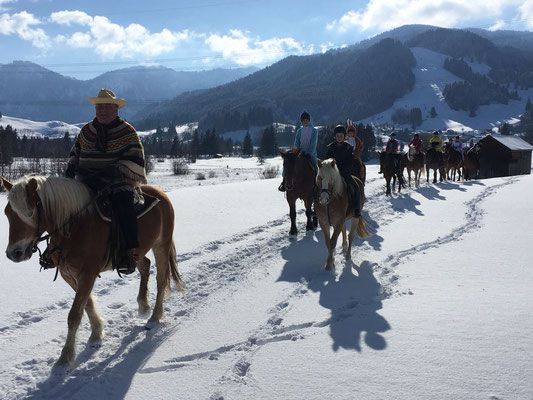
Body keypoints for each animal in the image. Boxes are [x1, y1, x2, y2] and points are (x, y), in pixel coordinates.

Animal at [1, 177, 183, 368]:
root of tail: (160, 193)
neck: (75, 227)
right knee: (146, 266)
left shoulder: (87, 274)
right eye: (7, 213)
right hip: (137, 252)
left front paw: (65, 356)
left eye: (30, 212)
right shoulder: (69, 275)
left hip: (161, 244)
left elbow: (74, 314)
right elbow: (86, 304)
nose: (14, 253)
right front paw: (96, 334)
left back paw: (154, 317)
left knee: (161, 278)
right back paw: (143, 306)